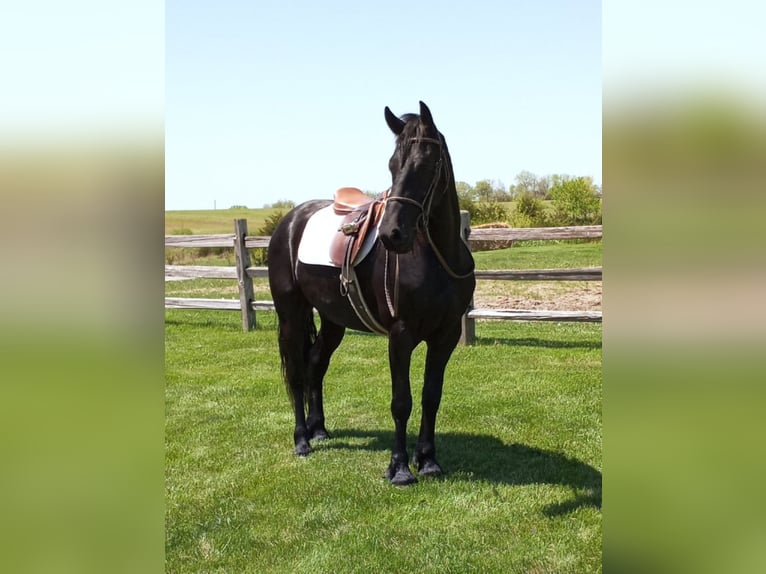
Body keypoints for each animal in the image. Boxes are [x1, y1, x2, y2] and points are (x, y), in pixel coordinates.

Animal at [268, 103, 474, 486]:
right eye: (393, 165)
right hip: (290, 314)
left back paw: (320, 430)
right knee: (296, 372)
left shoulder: (446, 335)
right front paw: (400, 468)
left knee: (316, 363)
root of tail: (290, 221)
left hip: (333, 320)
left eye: (427, 163)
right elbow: (401, 401)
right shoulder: (400, 335)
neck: (437, 256)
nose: (393, 234)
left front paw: (429, 461)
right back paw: (302, 440)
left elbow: (431, 396)